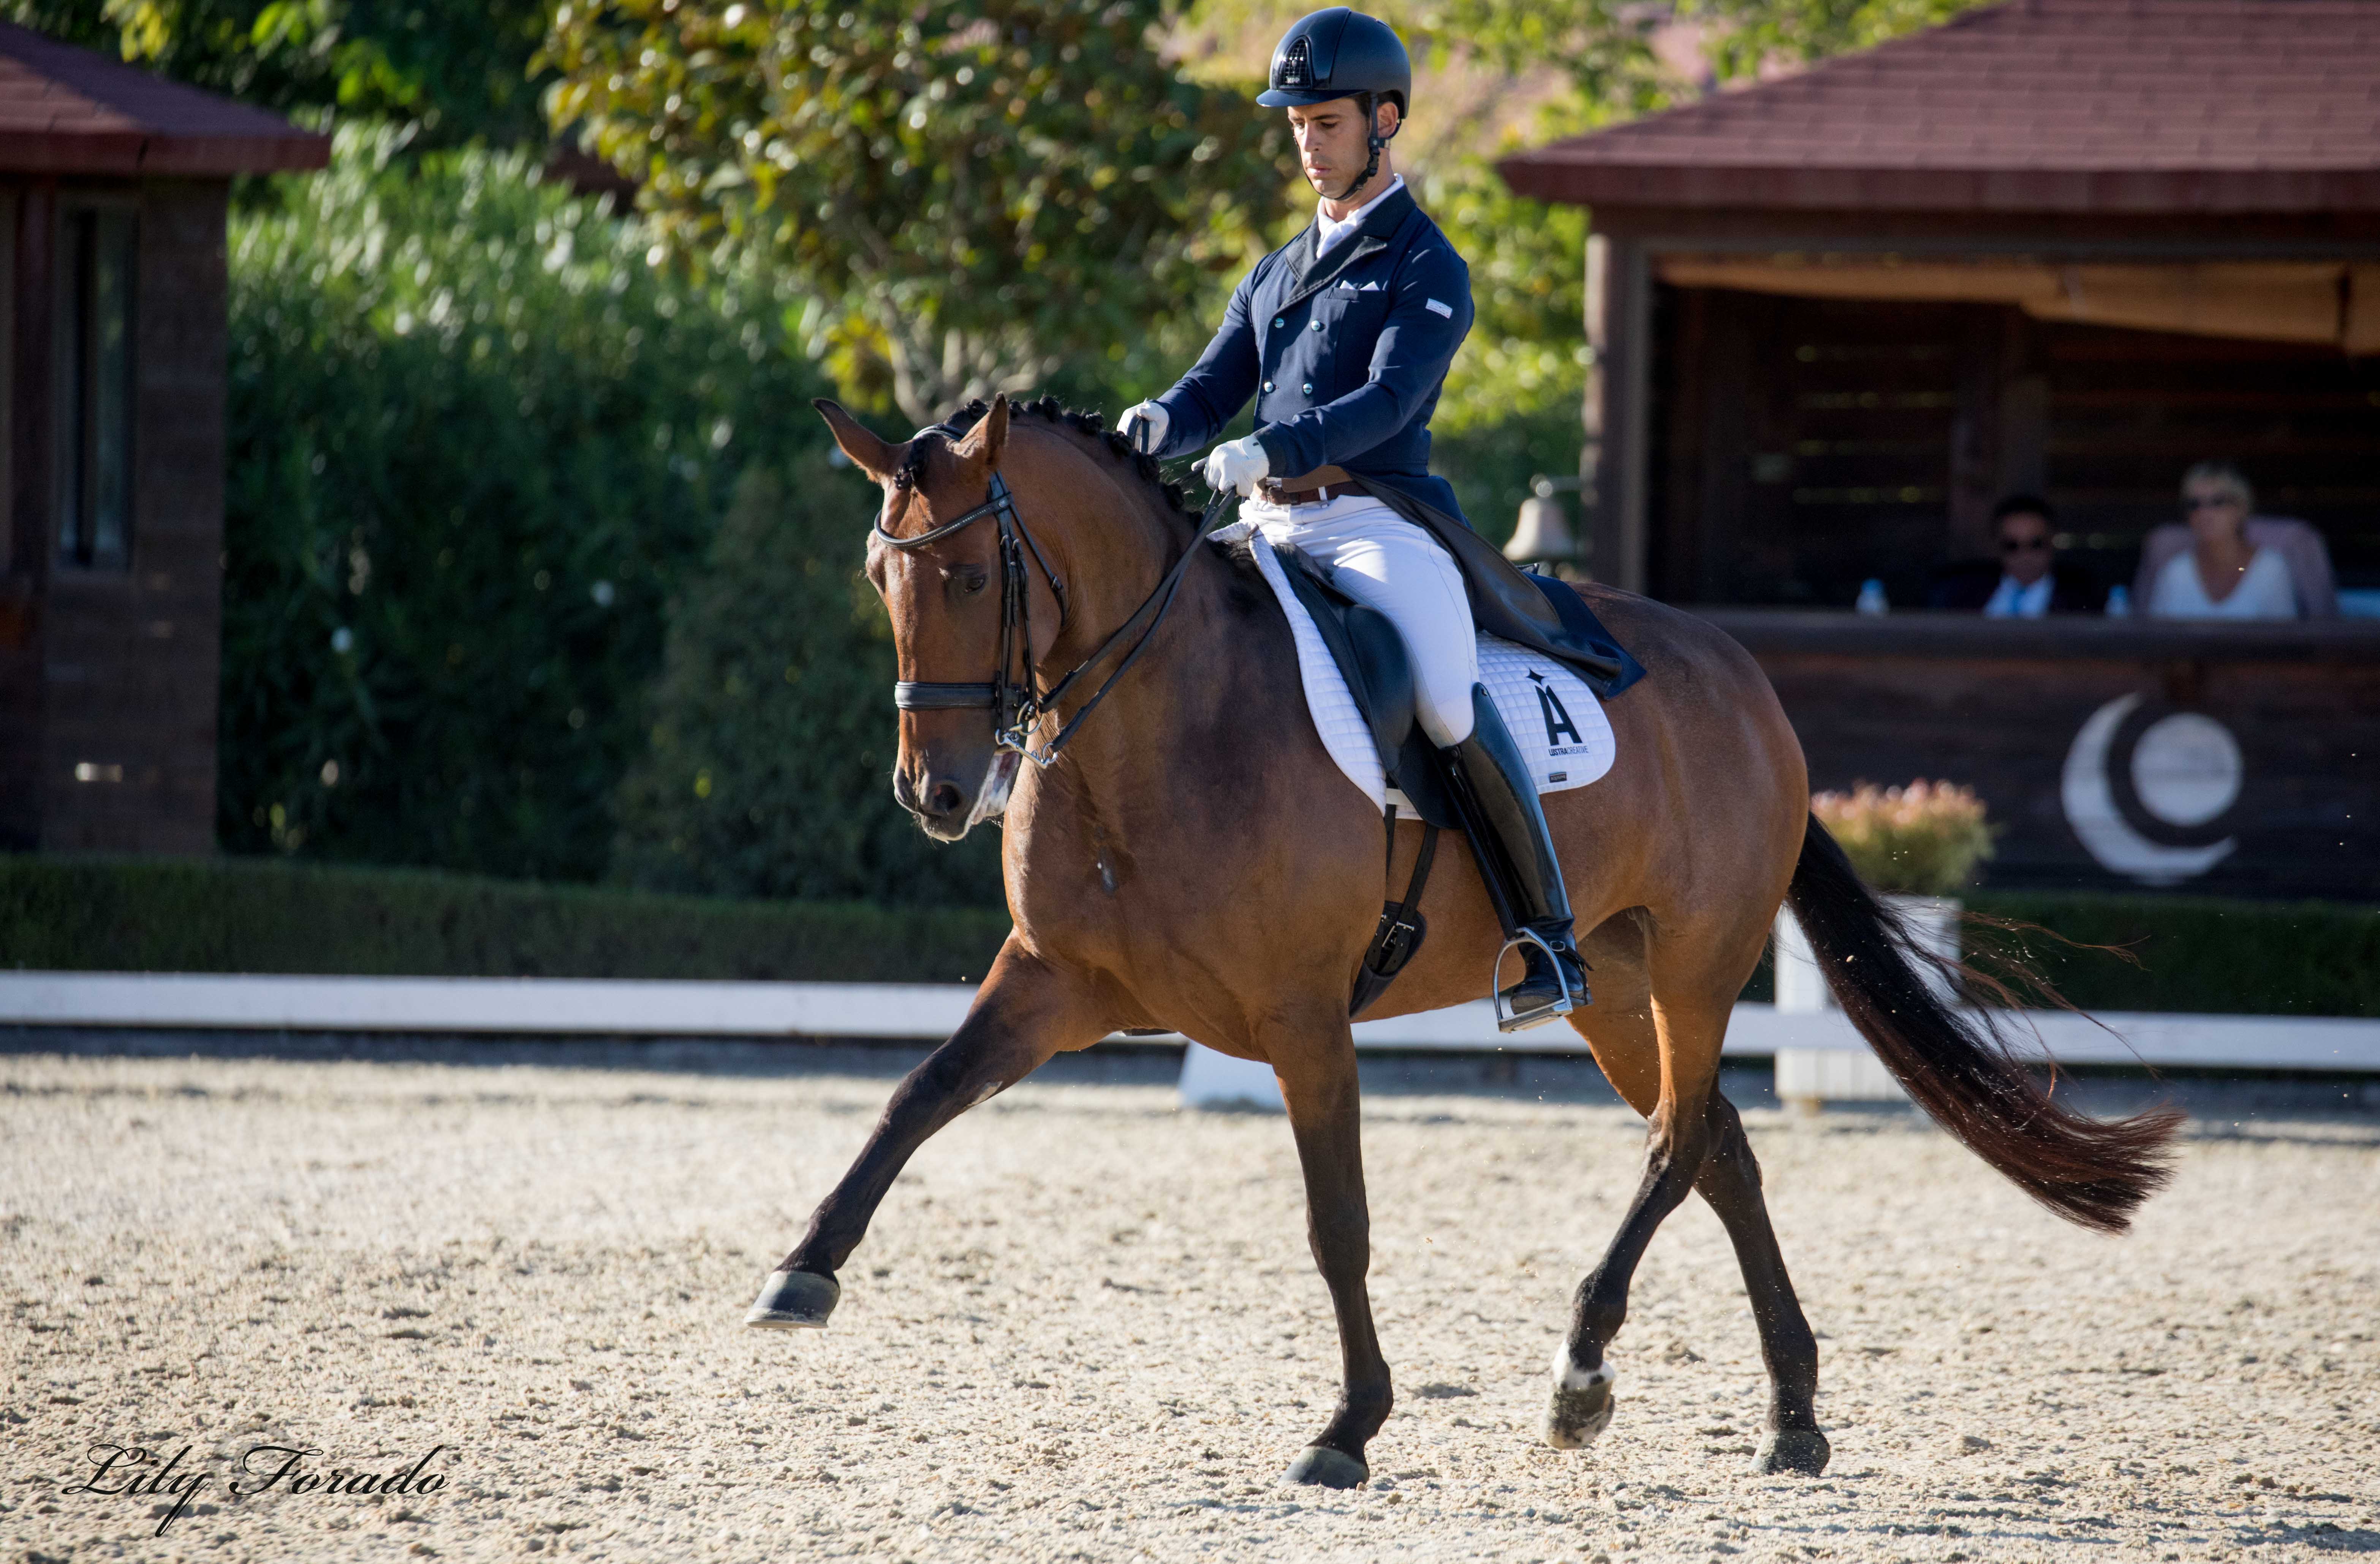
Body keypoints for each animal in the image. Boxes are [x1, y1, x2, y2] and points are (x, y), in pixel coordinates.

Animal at [747, 390, 2180, 1485]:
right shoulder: (1057, 982)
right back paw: (1791, 1416)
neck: (1156, 720)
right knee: (1719, 1143)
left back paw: (1582, 1372)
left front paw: (1348, 1425)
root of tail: (1747, 682)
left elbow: (1338, 1220)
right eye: (880, 575)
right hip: (1610, 986)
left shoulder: (1301, 1019)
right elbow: (917, 1093)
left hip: (1697, 962)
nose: (932, 793)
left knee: (1677, 1142)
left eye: (969, 574)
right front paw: (801, 1272)